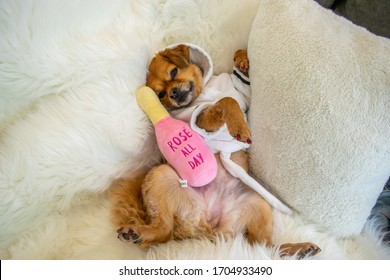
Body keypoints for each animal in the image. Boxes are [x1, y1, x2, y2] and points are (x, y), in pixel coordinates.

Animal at [109, 44, 320, 258]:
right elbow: (226, 101)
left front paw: (242, 61)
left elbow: (236, 90)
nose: (173, 93)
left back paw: (299, 249)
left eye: (174, 72)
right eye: (160, 95)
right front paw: (240, 126)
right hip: (162, 174)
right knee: (164, 230)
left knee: (266, 247)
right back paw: (137, 233)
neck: (204, 90)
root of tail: (208, 228)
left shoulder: (243, 95)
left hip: (258, 205)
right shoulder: (200, 116)